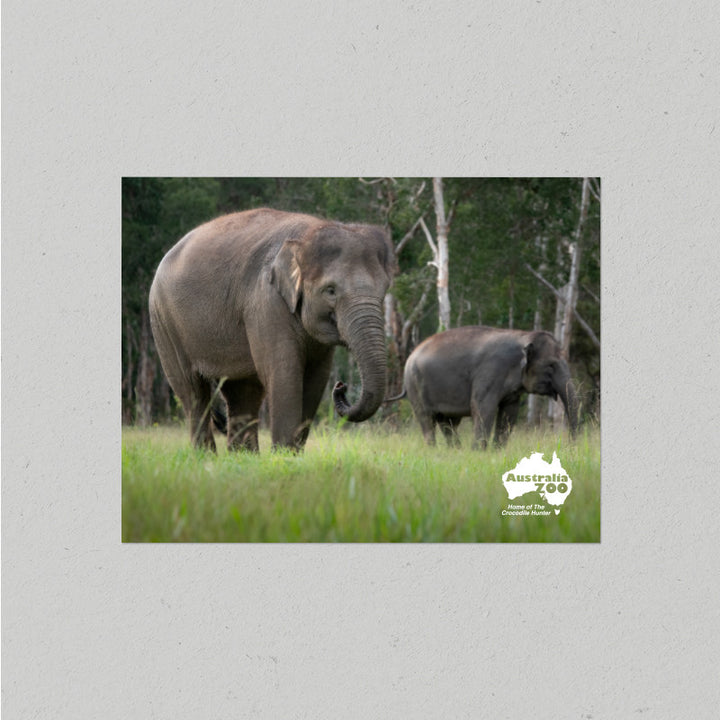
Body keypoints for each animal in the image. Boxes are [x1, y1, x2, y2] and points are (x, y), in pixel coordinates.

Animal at [149, 208, 396, 451]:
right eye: (331, 290)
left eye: (385, 289)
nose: (341, 386)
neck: (308, 234)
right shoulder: (266, 302)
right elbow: (284, 372)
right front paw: (283, 455)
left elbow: (316, 379)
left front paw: (293, 455)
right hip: (164, 322)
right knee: (193, 392)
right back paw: (205, 456)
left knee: (242, 392)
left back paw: (243, 457)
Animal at [395, 325, 578, 448]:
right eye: (551, 366)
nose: (569, 446)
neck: (524, 335)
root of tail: (411, 355)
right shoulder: (490, 372)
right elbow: (483, 408)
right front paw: (478, 452)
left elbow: (509, 413)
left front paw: (497, 451)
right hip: (415, 386)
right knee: (427, 419)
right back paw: (434, 450)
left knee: (448, 422)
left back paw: (455, 451)